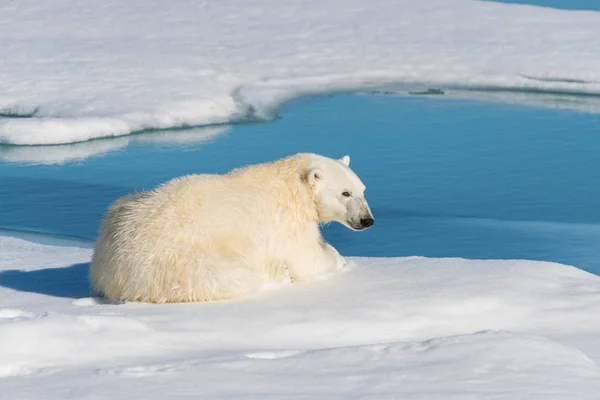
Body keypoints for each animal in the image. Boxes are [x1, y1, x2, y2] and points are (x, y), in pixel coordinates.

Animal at [88, 153, 372, 304]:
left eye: (362, 190)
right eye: (345, 193)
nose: (367, 220)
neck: (294, 184)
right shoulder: (286, 223)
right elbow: (306, 259)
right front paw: (339, 259)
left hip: (122, 206)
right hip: (183, 261)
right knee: (234, 276)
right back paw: (276, 275)